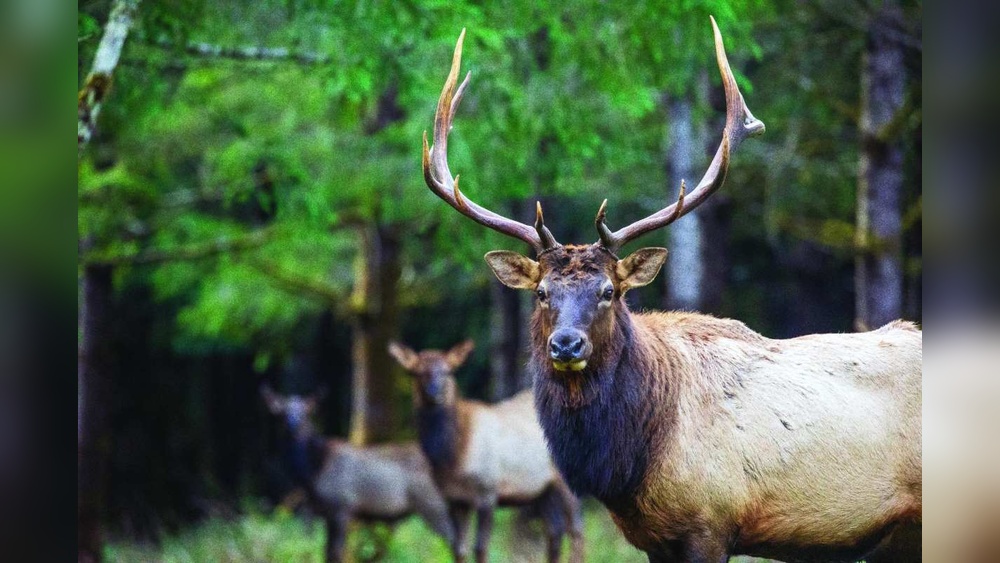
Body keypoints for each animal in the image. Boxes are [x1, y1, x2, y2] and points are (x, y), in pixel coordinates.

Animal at [260, 386, 455, 563]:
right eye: (281, 412)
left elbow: (336, 553)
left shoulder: (342, 507)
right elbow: (326, 552)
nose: (292, 425)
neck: (312, 472)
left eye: (305, 413)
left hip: (432, 503)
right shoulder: (326, 513)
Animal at [388, 340, 584, 563]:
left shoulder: (487, 490)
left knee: (576, 531)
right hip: (541, 488)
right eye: (417, 372)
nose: (434, 393)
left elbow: (480, 547)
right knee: (554, 531)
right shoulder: (454, 499)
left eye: (448, 371)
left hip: (565, 479)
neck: (451, 456)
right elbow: (458, 548)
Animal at [418, 20, 921, 563]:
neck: (632, 462)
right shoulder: (654, 537)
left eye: (609, 291)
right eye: (542, 293)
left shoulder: (712, 520)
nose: (567, 344)